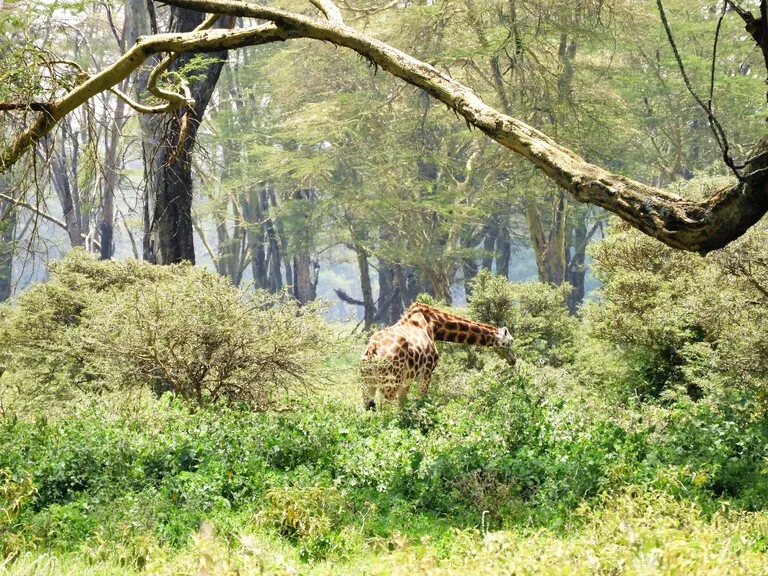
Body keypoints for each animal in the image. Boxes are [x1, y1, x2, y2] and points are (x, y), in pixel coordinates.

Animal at [360, 302, 516, 410]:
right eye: (511, 341)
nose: (513, 360)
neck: (434, 325)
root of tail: (372, 350)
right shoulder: (427, 372)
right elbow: (421, 401)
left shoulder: (408, 379)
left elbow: (401, 405)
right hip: (390, 383)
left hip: (368, 383)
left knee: (368, 408)